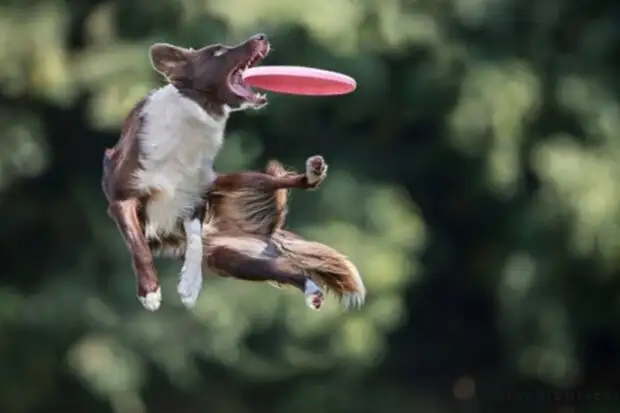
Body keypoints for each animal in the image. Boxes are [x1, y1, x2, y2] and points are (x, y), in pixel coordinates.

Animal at [102, 33, 272, 308]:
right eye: (217, 52)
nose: (261, 36)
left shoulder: (195, 196)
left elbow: (196, 241)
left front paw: (190, 285)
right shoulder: (123, 197)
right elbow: (138, 246)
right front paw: (150, 292)